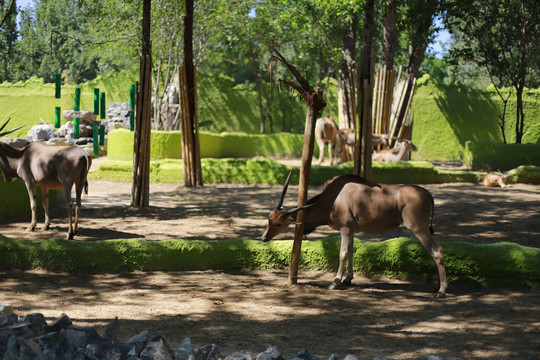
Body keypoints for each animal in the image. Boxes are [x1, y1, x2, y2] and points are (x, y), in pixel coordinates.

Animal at [262, 172, 448, 298]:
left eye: (278, 223)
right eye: (269, 218)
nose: (264, 238)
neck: (334, 198)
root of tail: (428, 194)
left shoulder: (345, 228)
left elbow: (343, 253)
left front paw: (335, 282)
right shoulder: (351, 230)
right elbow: (351, 251)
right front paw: (348, 279)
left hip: (418, 228)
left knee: (437, 251)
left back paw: (441, 290)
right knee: (434, 252)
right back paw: (437, 286)